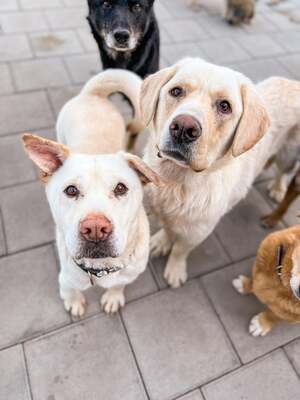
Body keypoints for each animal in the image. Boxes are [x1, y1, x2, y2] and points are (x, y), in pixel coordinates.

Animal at [22, 70, 163, 318]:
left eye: (121, 188)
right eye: (70, 190)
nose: (96, 229)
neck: (101, 269)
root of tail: (94, 94)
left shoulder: (129, 274)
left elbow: (118, 285)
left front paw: (113, 296)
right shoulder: (66, 277)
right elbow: (70, 289)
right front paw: (75, 302)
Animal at [142, 57, 300, 288]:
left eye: (225, 106)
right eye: (176, 91)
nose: (183, 128)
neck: (176, 180)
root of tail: (294, 83)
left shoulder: (197, 232)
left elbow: (180, 250)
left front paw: (175, 269)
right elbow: (169, 230)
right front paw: (162, 242)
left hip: (288, 156)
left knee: (282, 172)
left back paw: (278, 189)